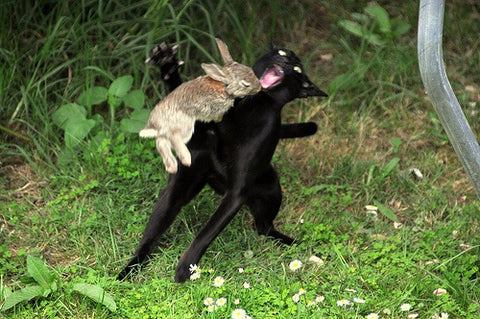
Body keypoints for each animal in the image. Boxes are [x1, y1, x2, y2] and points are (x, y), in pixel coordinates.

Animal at [141, 38, 260, 174]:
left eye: (250, 70)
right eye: (245, 84)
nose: (259, 87)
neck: (224, 87)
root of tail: (154, 123)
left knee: (161, 142)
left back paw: (172, 167)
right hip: (185, 125)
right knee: (173, 136)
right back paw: (186, 159)